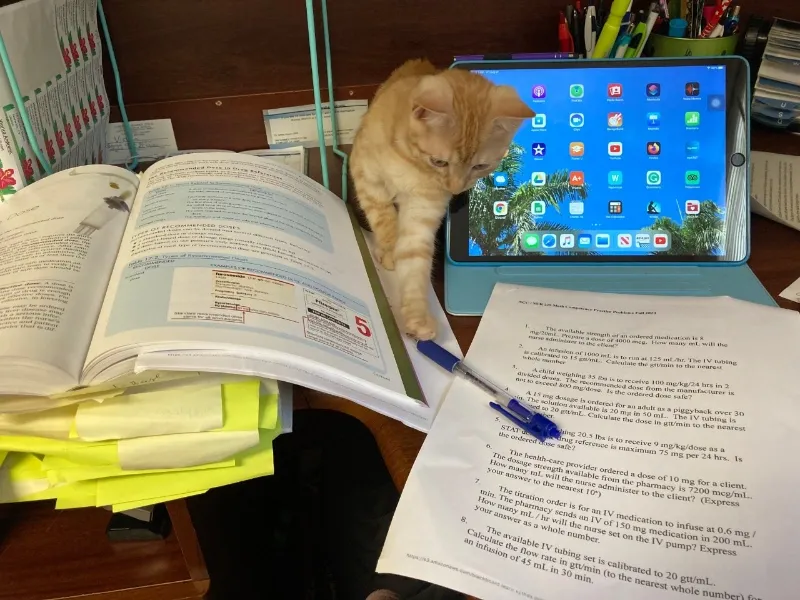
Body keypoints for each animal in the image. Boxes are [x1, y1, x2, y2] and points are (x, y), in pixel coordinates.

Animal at [350, 61, 532, 342]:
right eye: (439, 162)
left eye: (480, 166)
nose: (456, 187)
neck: (411, 164)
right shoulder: (367, 177)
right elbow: (384, 218)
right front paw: (390, 249)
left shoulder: (421, 212)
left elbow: (414, 258)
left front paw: (417, 317)